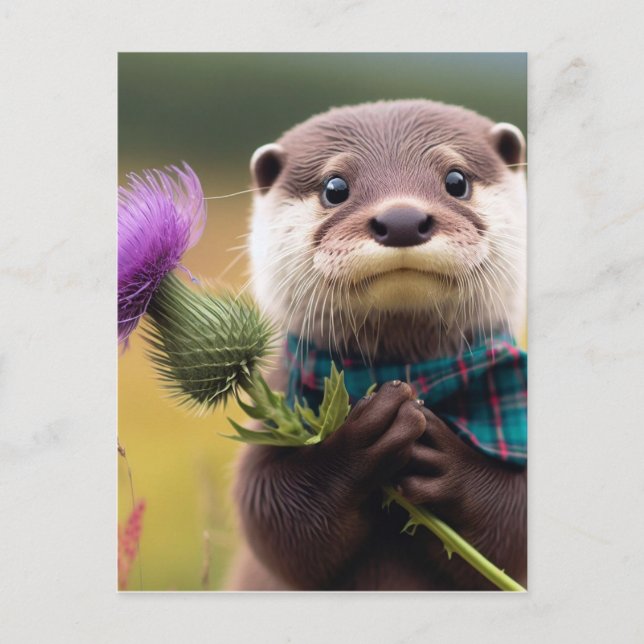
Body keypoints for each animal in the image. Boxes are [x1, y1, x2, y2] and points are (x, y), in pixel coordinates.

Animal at [229, 99, 527, 590]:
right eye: (335, 187)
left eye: (456, 180)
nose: (402, 220)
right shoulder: (272, 418)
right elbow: (274, 518)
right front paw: (365, 436)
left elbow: (513, 524)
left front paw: (444, 459)